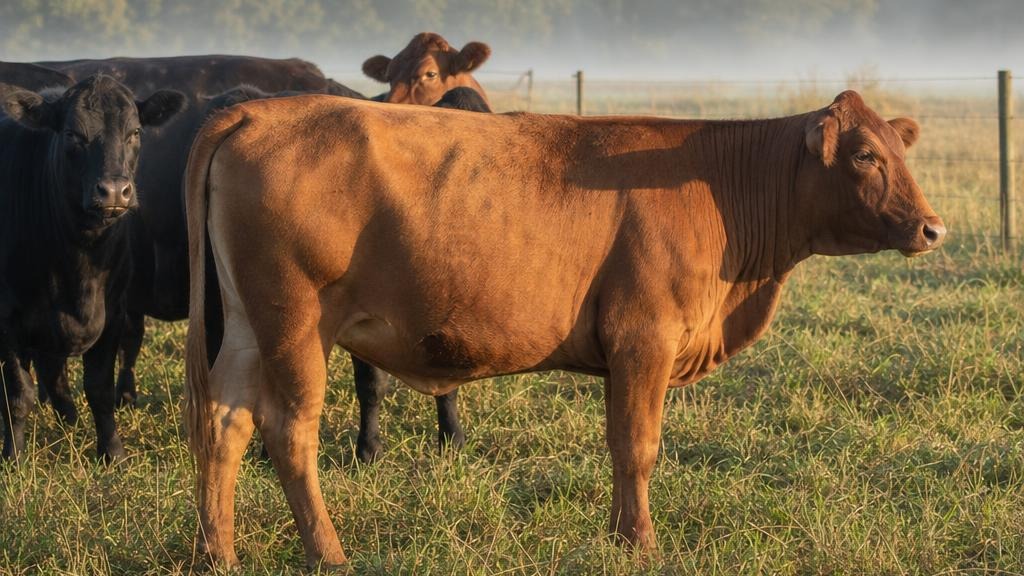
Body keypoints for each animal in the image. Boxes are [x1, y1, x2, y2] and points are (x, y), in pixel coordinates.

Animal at [0, 76, 185, 461]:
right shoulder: (6, 318)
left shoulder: (113, 310)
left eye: (135, 132)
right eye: (72, 133)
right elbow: (17, 394)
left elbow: (99, 387)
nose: (114, 191)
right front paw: (14, 456)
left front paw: (112, 453)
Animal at [182, 90, 945, 568]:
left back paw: (218, 552)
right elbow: (636, 445)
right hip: (295, 322)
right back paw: (329, 553)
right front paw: (639, 543)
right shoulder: (644, 337)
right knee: (289, 430)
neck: (718, 183)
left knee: (225, 421)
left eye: (899, 149)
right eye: (865, 155)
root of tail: (254, 113)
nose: (932, 228)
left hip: (246, 326)